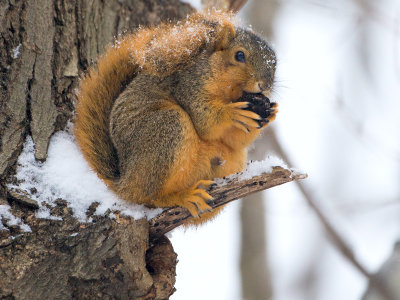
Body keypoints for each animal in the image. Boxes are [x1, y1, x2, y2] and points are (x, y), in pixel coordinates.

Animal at [73, 10, 276, 224]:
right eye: (239, 55)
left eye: (274, 64)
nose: (265, 85)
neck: (231, 93)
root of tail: (124, 180)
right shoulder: (188, 86)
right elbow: (205, 122)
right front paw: (232, 113)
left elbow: (235, 140)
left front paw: (270, 113)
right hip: (167, 128)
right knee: (147, 197)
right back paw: (183, 197)